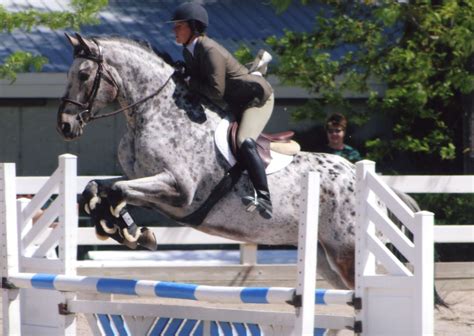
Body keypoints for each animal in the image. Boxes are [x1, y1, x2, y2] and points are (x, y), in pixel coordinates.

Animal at [54, 32, 412, 292]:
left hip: (348, 252)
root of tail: (365, 179)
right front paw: (121, 229)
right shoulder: (147, 184)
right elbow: (98, 188)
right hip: (326, 257)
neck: (155, 113)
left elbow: (116, 192)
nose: (65, 126)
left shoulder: (179, 191)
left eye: (84, 74)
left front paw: (129, 232)